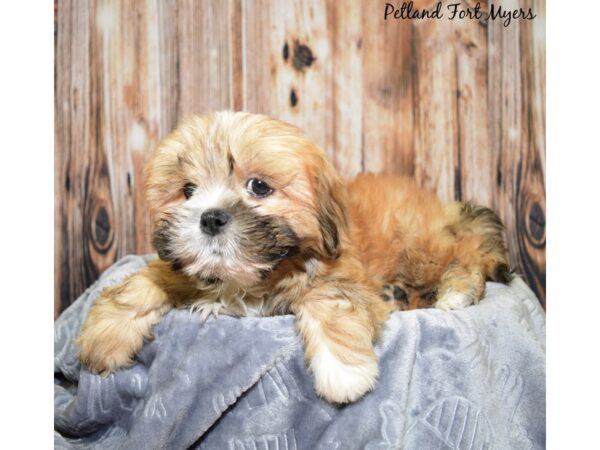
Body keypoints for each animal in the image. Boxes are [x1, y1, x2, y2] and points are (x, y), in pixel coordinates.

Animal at [78, 111, 510, 404]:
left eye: (259, 186)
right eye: (187, 191)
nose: (210, 217)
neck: (259, 271)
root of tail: (444, 209)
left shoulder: (339, 275)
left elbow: (330, 301)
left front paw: (344, 371)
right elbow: (147, 280)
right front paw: (104, 334)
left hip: (418, 241)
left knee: (468, 254)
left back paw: (455, 291)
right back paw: (401, 294)